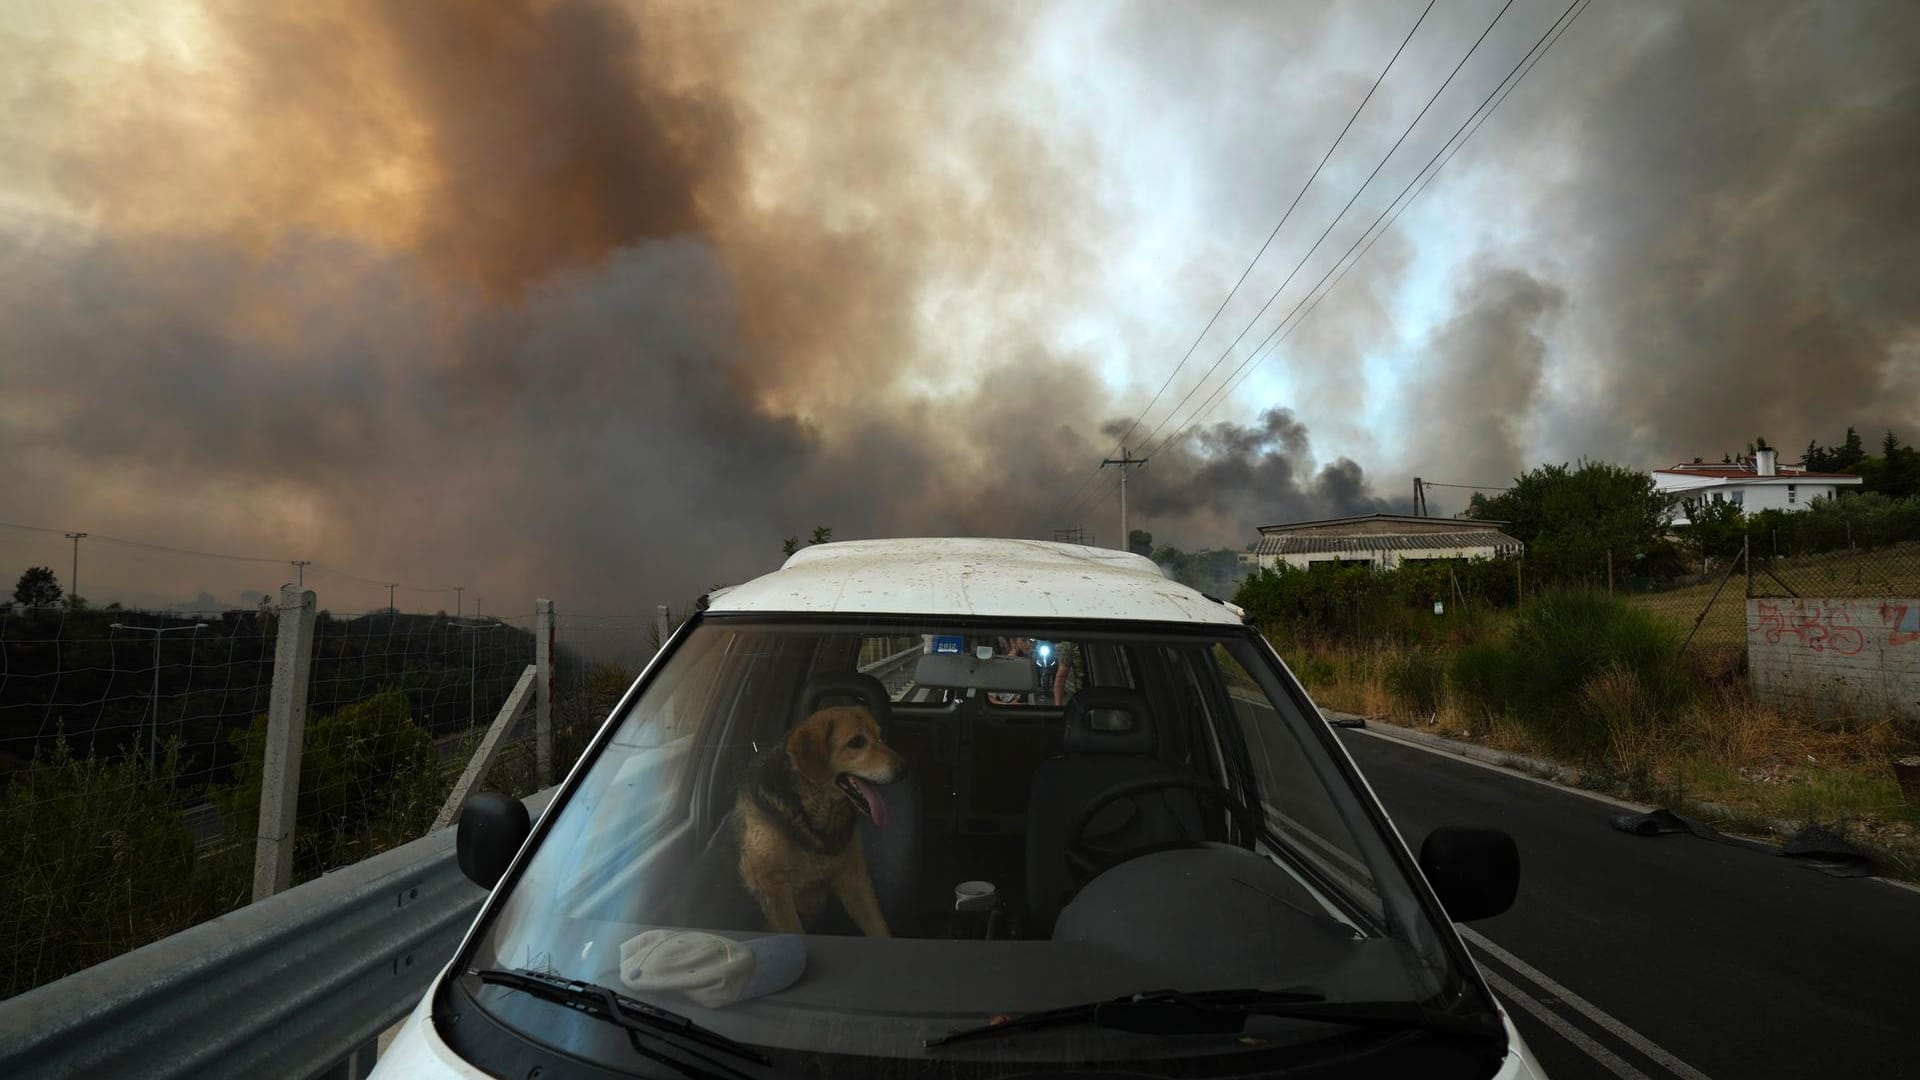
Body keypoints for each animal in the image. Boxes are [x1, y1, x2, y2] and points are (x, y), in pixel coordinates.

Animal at [737, 703, 910, 930]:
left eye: (881, 736)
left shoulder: (854, 876)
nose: (905, 769)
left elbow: (878, 927)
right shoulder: (773, 889)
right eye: (857, 742)